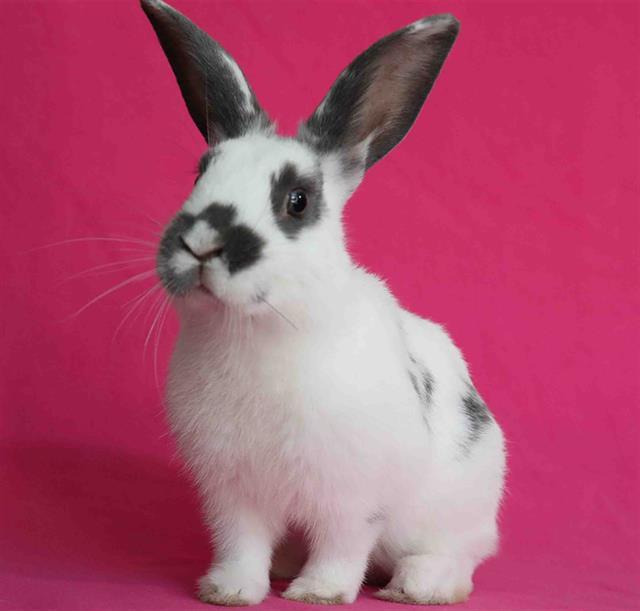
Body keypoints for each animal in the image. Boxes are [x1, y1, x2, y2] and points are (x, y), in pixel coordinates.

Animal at [141, 0, 506, 606]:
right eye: (200, 172)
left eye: (297, 200)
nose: (201, 243)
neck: (256, 330)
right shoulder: (230, 491)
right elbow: (240, 544)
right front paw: (229, 590)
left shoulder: (354, 493)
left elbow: (343, 544)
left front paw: (319, 592)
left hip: (460, 508)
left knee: (459, 558)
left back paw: (415, 586)